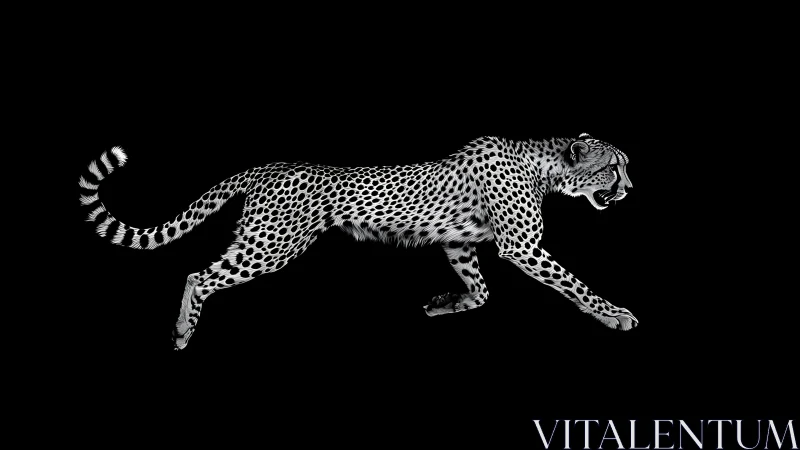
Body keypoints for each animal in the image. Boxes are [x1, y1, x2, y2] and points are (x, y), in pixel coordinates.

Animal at [78, 133, 636, 350]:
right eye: (614, 167)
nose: (630, 189)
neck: (544, 165)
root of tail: (270, 164)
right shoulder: (522, 247)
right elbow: (574, 284)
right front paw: (614, 314)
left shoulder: (458, 244)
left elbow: (478, 291)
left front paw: (444, 302)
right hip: (272, 245)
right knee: (199, 274)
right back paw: (182, 331)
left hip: (256, 238)